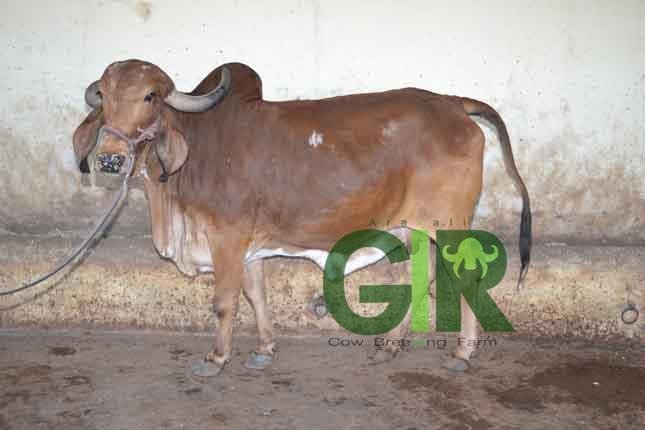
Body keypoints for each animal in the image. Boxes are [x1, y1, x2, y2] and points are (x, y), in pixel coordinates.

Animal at [73, 60, 531, 376]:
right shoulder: (249, 248)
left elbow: (224, 302)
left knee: (464, 278)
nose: (110, 159)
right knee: (421, 275)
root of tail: (452, 103)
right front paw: (263, 350)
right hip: (413, 228)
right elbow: (256, 296)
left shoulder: (227, 238)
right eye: (105, 97)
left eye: (150, 96)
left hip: (449, 223)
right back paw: (390, 346)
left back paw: (462, 353)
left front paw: (217, 357)